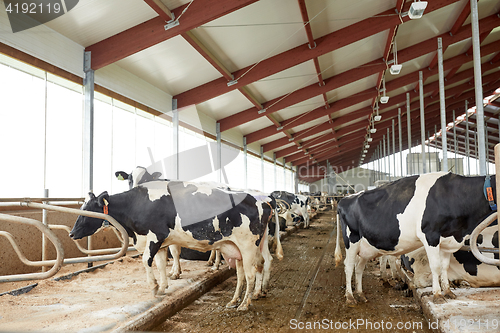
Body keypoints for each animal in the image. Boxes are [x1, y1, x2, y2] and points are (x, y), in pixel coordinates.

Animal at [70, 180, 284, 310]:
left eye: (88, 211)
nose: (71, 234)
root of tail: (262, 200)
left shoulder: (155, 236)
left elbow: (147, 261)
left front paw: (154, 287)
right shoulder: (161, 242)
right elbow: (160, 263)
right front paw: (163, 285)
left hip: (248, 245)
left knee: (251, 272)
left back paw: (245, 304)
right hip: (240, 247)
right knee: (253, 268)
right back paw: (242, 298)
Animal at [336, 171, 496, 304]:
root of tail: (345, 199)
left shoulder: (447, 240)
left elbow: (444, 266)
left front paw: (448, 291)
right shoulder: (430, 235)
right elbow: (435, 266)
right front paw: (437, 295)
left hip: (365, 247)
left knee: (359, 268)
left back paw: (360, 294)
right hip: (351, 241)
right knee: (348, 266)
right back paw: (350, 297)